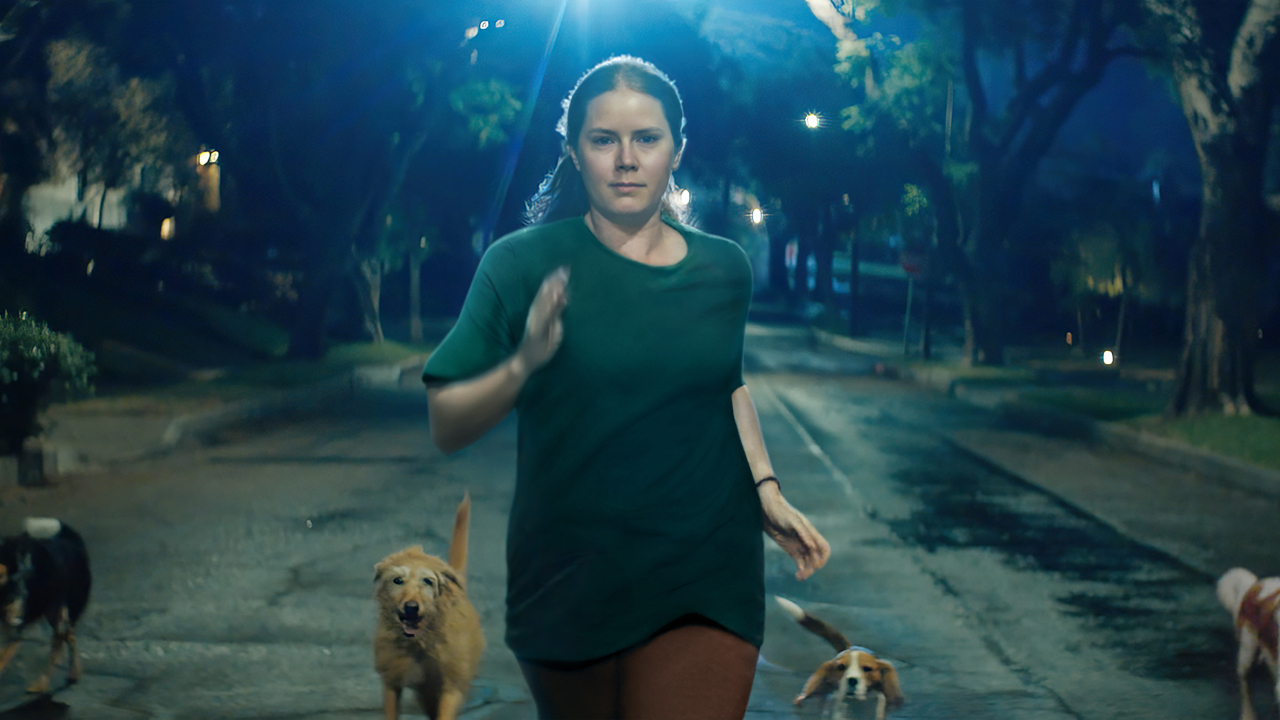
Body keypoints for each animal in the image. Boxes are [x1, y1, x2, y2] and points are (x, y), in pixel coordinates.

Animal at [0, 515, 91, 691]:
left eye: (23, 570)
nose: (22, 594)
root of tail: (71, 539)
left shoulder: (15, 630)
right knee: (67, 639)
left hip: (59, 614)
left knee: (62, 643)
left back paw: (45, 683)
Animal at [376, 491, 486, 717]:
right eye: (397, 580)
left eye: (428, 581)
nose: (411, 607)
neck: (420, 644)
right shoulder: (392, 679)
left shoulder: (452, 686)